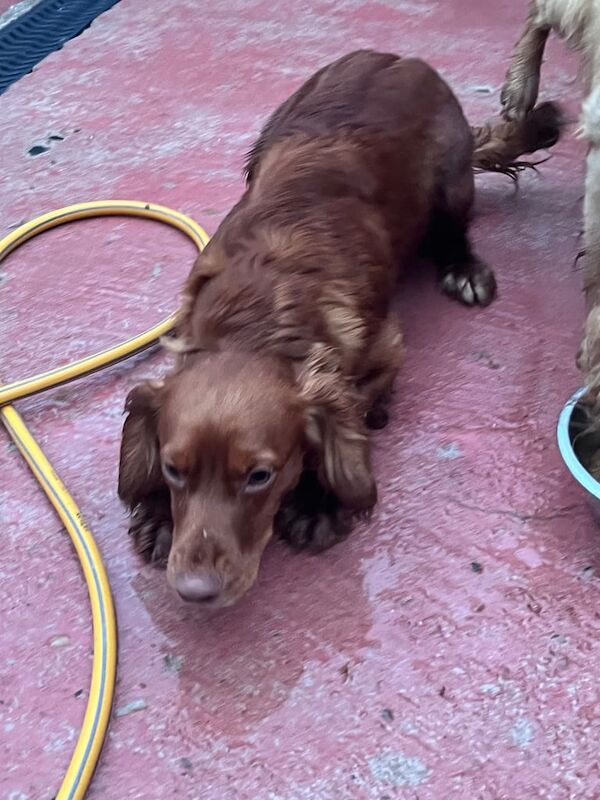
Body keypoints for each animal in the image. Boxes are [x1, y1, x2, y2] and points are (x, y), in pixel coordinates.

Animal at [118, 48, 564, 608]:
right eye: (174, 469)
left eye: (260, 476)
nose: (195, 592)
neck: (256, 319)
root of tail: (401, 58)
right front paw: (157, 513)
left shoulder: (386, 349)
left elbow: (346, 413)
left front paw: (318, 504)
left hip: (450, 180)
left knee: (456, 228)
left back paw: (462, 268)